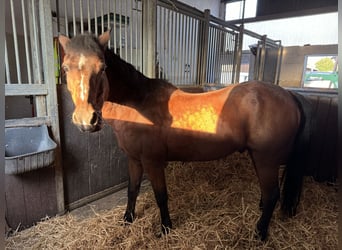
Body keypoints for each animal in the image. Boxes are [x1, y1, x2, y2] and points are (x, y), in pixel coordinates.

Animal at [59, 31, 310, 240]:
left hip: (266, 159)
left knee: (272, 195)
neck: (136, 102)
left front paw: (165, 228)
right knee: (268, 194)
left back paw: (260, 233)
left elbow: (161, 196)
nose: (86, 120)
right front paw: (128, 219)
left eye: (102, 67)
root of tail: (289, 96)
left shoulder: (152, 161)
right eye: (65, 68)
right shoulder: (133, 159)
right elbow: (132, 191)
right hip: (263, 159)